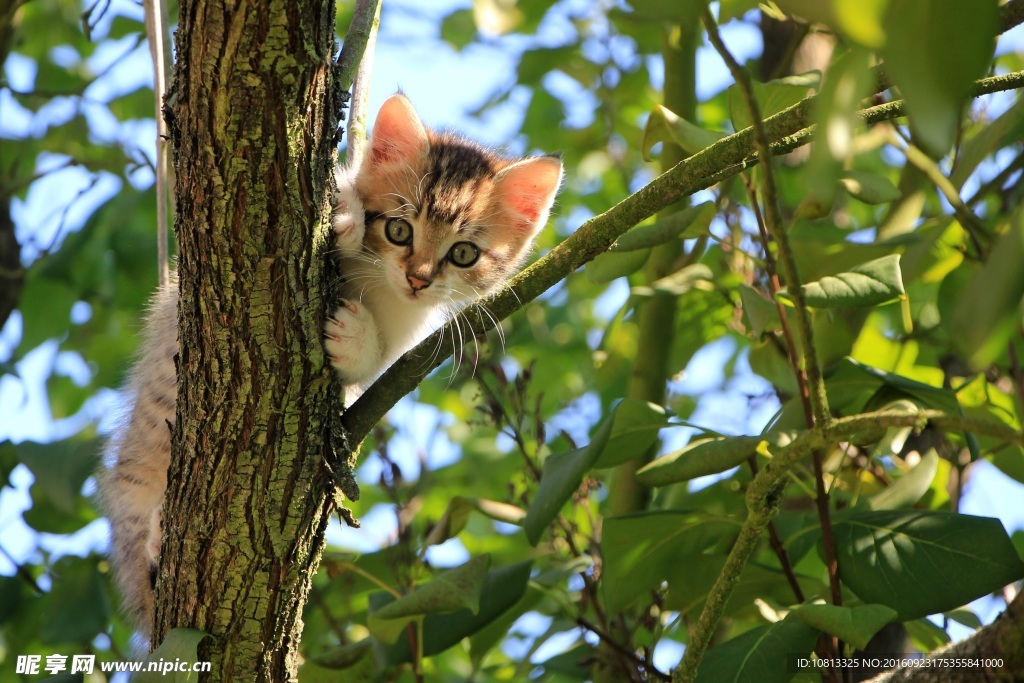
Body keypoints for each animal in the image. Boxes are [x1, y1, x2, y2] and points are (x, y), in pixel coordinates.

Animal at [99, 93, 565, 634]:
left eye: (464, 253)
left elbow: (373, 365)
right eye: (399, 229)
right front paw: (345, 216)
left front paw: (355, 338)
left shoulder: (405, 334)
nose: (419, 278)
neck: (379, 285)